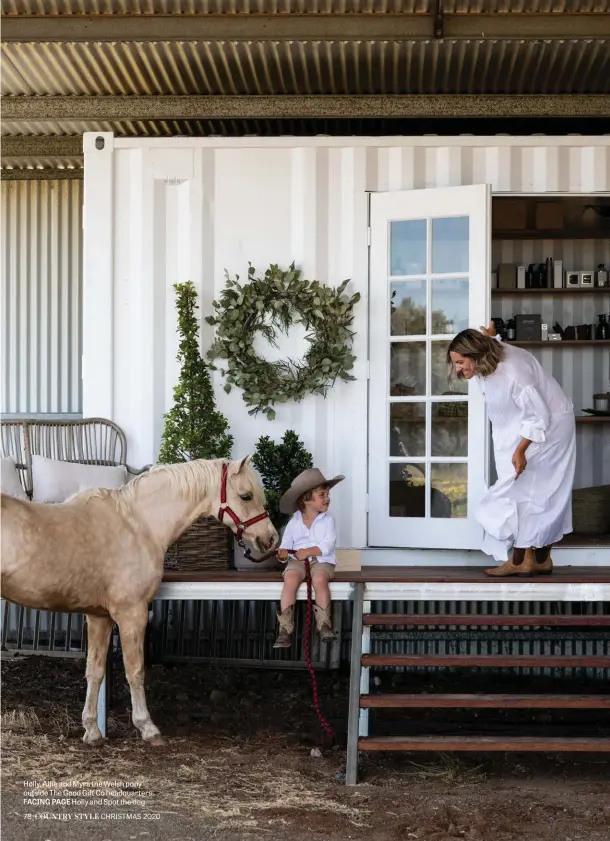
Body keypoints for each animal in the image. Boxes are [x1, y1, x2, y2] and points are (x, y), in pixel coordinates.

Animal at [1, 456, 276, 744]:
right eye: (246, 496)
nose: (270, 539)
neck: (138, 524)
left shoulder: (99, 617)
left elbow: (94, 671)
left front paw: (92, 731)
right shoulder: (132, 614)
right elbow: (135, 671)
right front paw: (147, 728)